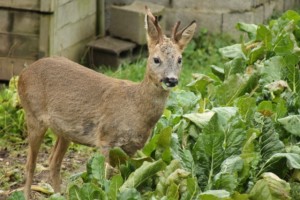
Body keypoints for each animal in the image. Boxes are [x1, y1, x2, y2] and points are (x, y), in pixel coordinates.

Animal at [18, 7, 197, 198]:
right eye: (156, 59)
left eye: (180, 59)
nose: (171, 80)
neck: (135, 107)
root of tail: (23, 73)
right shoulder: (106, 140)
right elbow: (105, 180)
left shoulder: (131, 148)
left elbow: (126, 177)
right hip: (33, 114)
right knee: (30, 164)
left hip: (64, 131)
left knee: (54, 162)